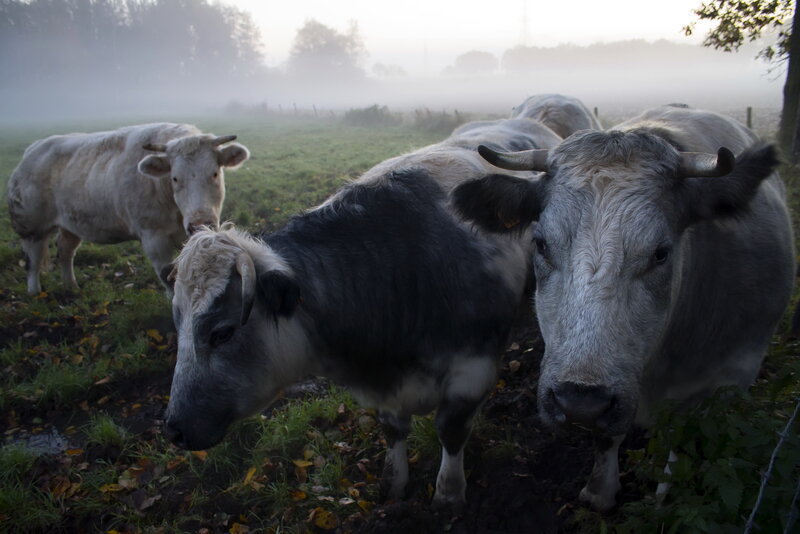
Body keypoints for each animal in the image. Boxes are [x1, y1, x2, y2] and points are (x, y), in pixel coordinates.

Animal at [7, 123, 250, 294]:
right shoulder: (154, 239)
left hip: (70, 224)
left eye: (215, 173)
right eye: (175, 178)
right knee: (33, 261)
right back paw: (35, 292)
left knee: (66, 251)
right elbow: (168, 278)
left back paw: (71, 286)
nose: (200, 223)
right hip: (31, 226)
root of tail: (33, 148)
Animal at [161, 111, 563, 506]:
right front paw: (394, 482)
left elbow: (450, 431)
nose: (173, 430)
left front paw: (449, 492)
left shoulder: (473, 371)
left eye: (222, 332)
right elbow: (392, 429)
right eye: (177, 325)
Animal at [451, 105, 795, 510]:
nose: (580, 402)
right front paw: (600, 490)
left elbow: (686, 441)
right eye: (541, 244)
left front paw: (666, 498)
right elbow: (606, 438)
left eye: (661, 253)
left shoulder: (731, 376)